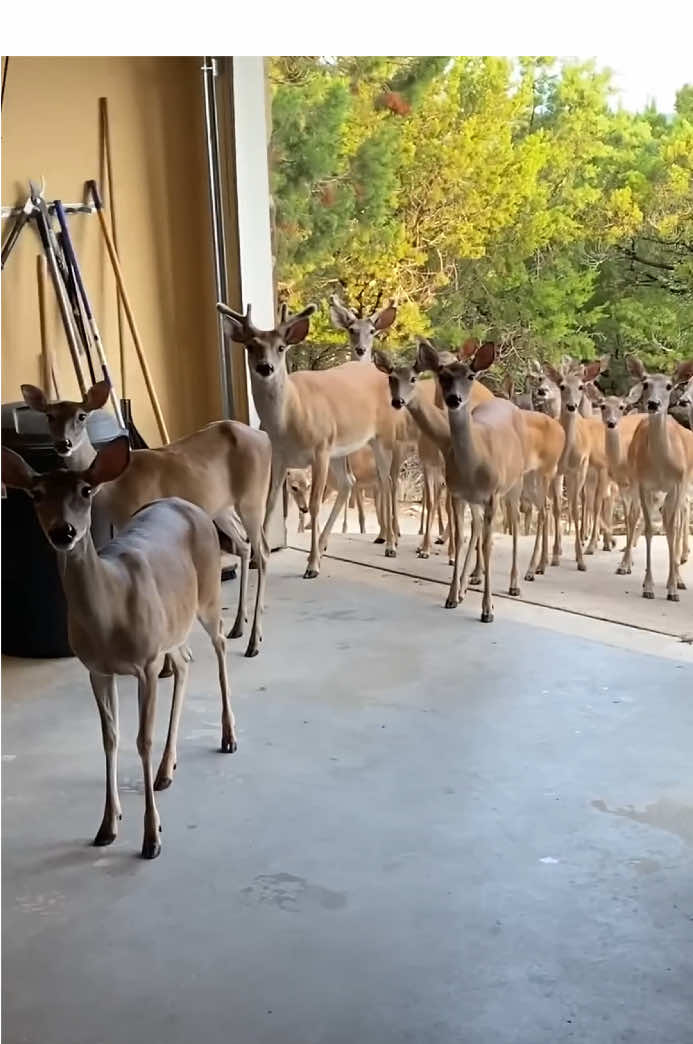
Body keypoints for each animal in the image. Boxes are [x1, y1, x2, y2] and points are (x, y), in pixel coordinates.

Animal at [1, 437, 237, 860]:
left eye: (85, 491)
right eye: (36, 494)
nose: (64, 531)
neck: (110, 613)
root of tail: (187, 504)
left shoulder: (146, 663)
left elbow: (142, 739)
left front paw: (151, 836)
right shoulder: (97, 668)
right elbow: (109, 738)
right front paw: (108, 825)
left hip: (207, 594)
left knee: (220, 643)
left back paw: (228, 737)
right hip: (171, 625)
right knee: (185, 661)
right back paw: (166, 769)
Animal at [20, 382, 271, 659]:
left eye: (81, 416)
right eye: (49, 416)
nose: (63, 443)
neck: (115, 489)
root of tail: (264, 437)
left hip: (252, 497)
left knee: (263, 552)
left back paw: (254, 641)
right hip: (220, 507)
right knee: (244, 545)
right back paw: (238, 626)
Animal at [218, 301, 403, 578]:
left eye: (281, 347)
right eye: (250, 346)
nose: (265, 367)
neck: (290, 417)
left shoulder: (320, 449)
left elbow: (314, 505)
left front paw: (312, 565)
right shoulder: (279, 456)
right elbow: (270, 504)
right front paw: (255, 559)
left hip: (381, 435)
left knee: (386, 480)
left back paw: (390, 545)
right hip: (340, 449)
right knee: (349, 483)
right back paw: (326, 544)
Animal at [626, 357, 693, 600]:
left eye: (669, 386)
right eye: (645, 383)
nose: (653, 404)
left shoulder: (677, 484)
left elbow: (672, 530)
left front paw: (672, 588)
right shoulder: (645, 484)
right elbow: (648, 529)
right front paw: (648, 586)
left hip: (682, 487)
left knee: (677, 523)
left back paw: (679, 580)